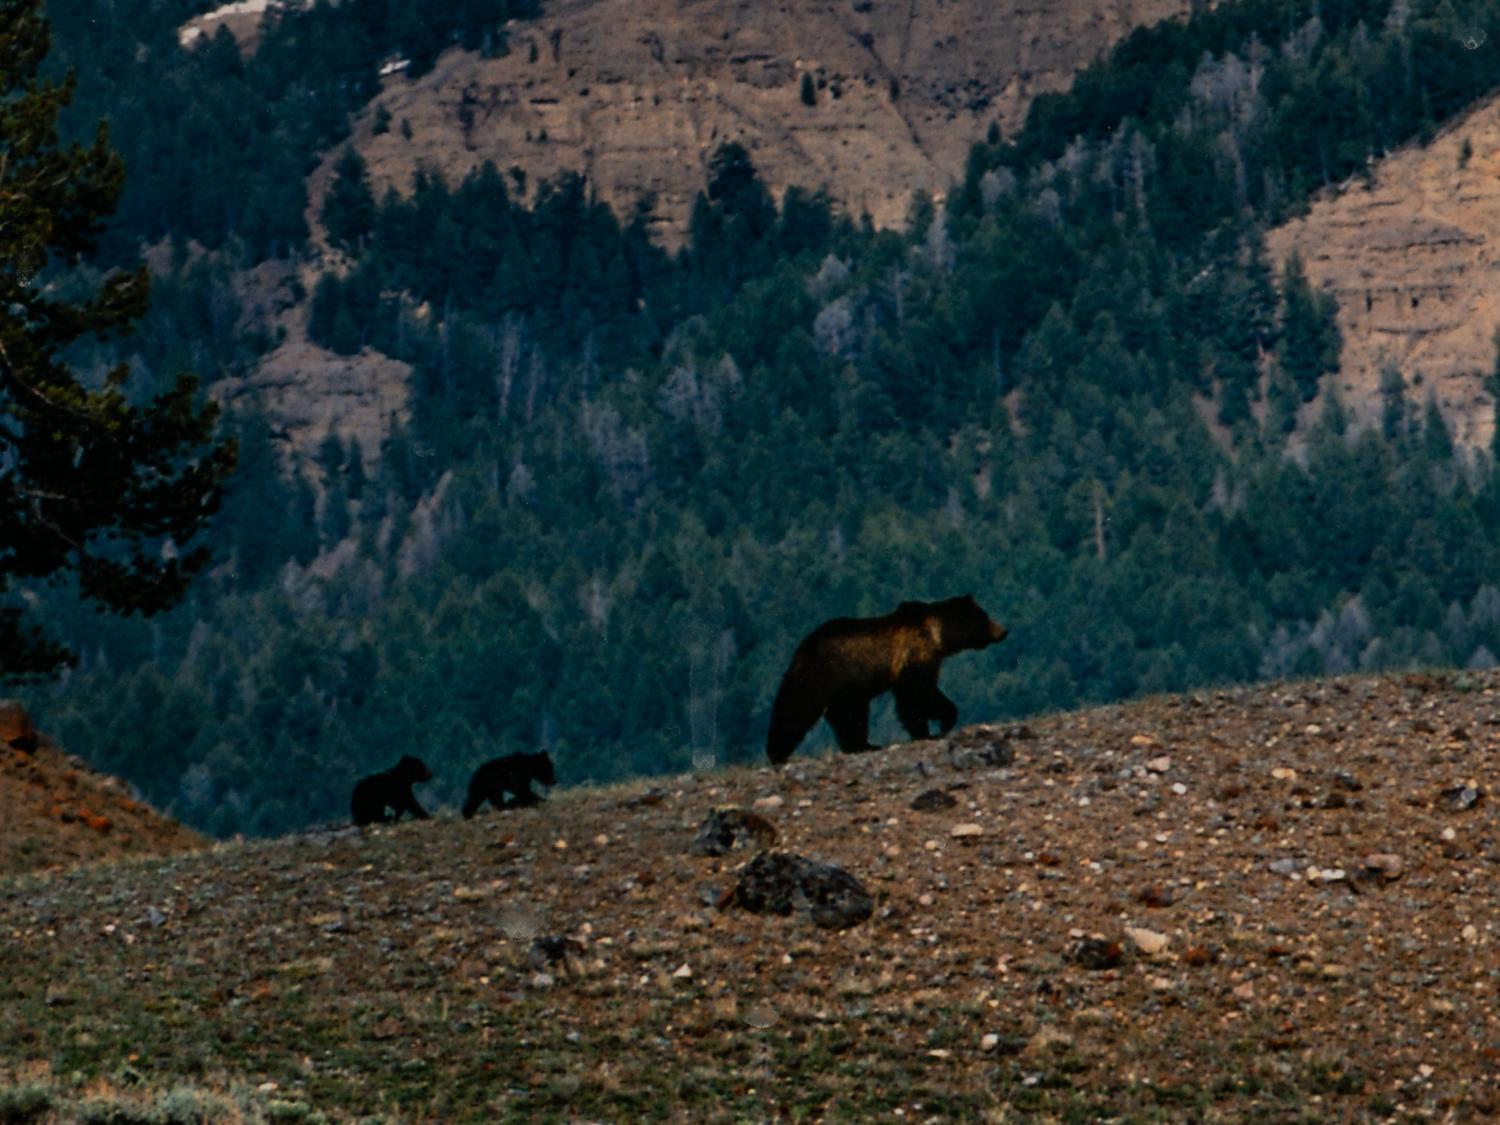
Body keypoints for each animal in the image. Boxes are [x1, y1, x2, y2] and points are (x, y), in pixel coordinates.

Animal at [765, 594, 1007, 765]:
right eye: (985, 616)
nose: (1003, 631)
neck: (936, 636)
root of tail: (802, 649)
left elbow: (926, 693)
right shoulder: (913, 658)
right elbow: (917, 697)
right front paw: (932, 729)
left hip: (848, 688)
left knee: (847, 715)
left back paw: (863, 744)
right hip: (825, 675)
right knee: (798, 708)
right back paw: (777, 752)